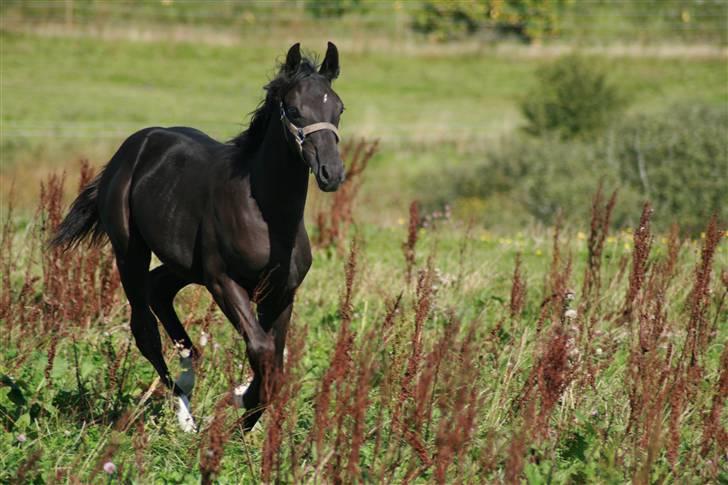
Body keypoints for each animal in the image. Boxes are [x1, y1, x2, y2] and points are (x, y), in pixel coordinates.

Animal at [52, 40, 346, 428]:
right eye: (295, 110)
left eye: (338, 108)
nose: (332, 172)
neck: (268, 216)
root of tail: (135, 145)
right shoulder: (223, 282)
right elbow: (262, 350)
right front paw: (238, 402)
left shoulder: (281, 293)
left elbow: (274, 365)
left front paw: (244, 410)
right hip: (130, 251)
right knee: (144, 328)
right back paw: (186, 413)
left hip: (185, 266)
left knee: (158, 288)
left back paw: (189, 367)